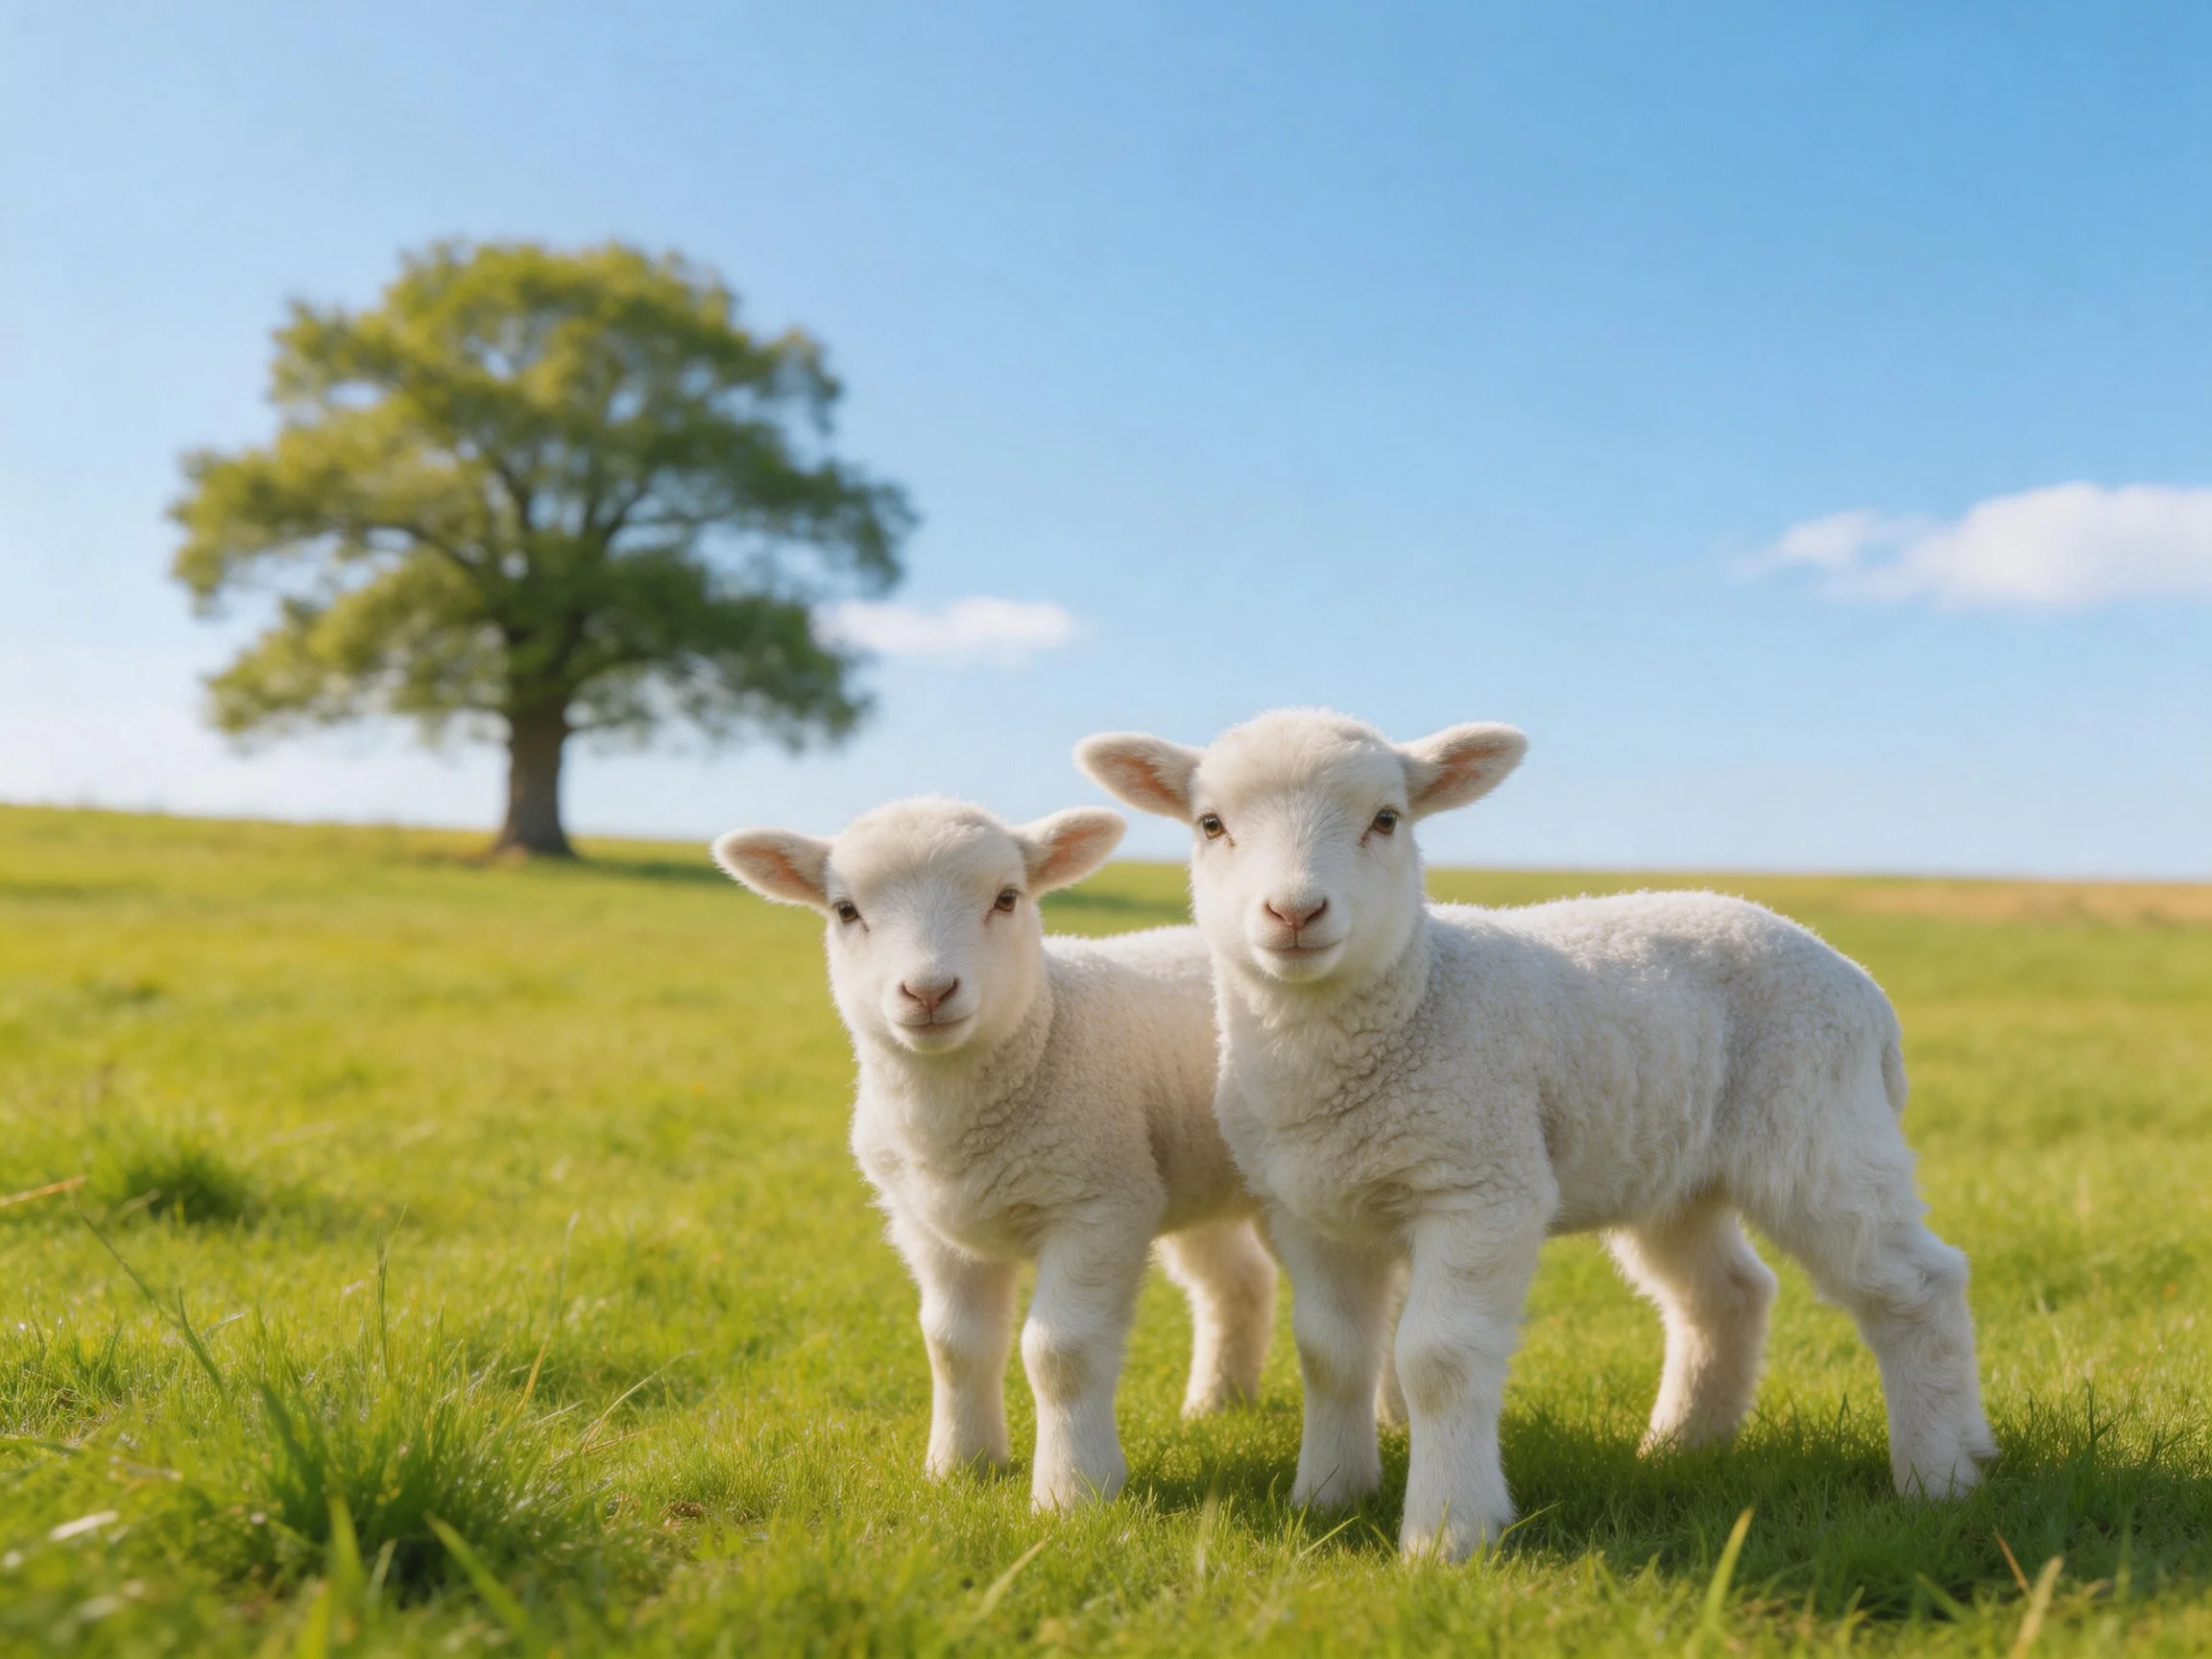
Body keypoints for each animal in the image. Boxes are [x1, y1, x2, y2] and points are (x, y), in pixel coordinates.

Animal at [711, 795, 1279, 1511]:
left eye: (1007, 898)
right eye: (844, 910)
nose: (928, 992)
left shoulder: (1099, 1207)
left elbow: (1061, 1351)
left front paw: (1073, 1493)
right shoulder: (931, 1228)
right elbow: (954, 1346)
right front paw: (960, 1466)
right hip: (1192, 1178)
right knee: (1237, 1283)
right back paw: (1218, 1404)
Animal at [1078, 710, 1996, 1561]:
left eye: (1387, 818)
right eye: (1210, 824)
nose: (1295, 911)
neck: (1408, 1002)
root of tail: (1861, 985)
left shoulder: (1481, 1185)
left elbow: (1437, 1360)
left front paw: (1448, 1534)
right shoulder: (1311, 1208)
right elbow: (1331, 1355)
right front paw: (1329, 1498)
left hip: (1818, 1128)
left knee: (1916, 1285)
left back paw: (1941, 1474)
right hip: (1674, 1171)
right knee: (1725, 1294)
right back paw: (1683, 1447)